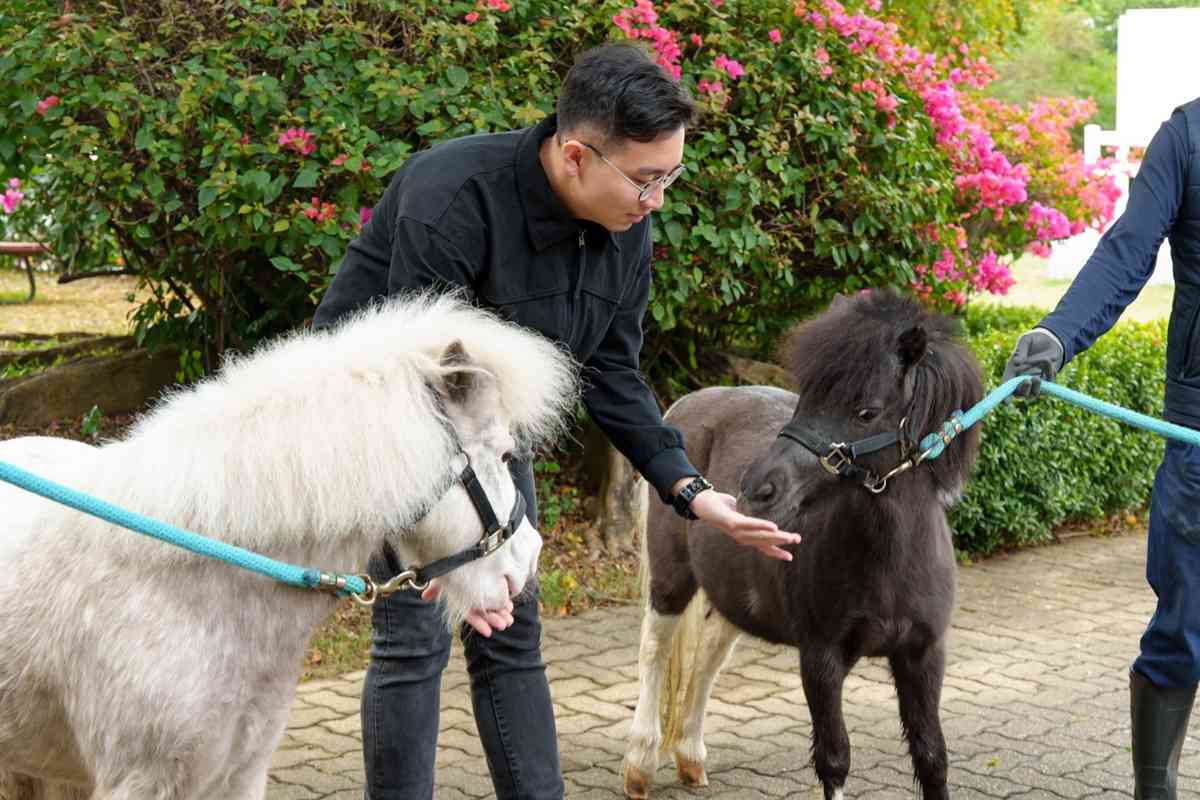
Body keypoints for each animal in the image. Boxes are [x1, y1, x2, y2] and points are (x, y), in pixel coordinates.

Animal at [623, 290, 983, 800]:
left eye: (866, 411)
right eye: (806, 399)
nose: (757, 489)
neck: (887, 565)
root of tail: (684, 408)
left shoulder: (923, 656)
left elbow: (931, 756)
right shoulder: (820, 659)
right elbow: (834, 759)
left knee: (709, 654)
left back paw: (691, 756)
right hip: (671, 581)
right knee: (654, 651)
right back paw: (639, 764)